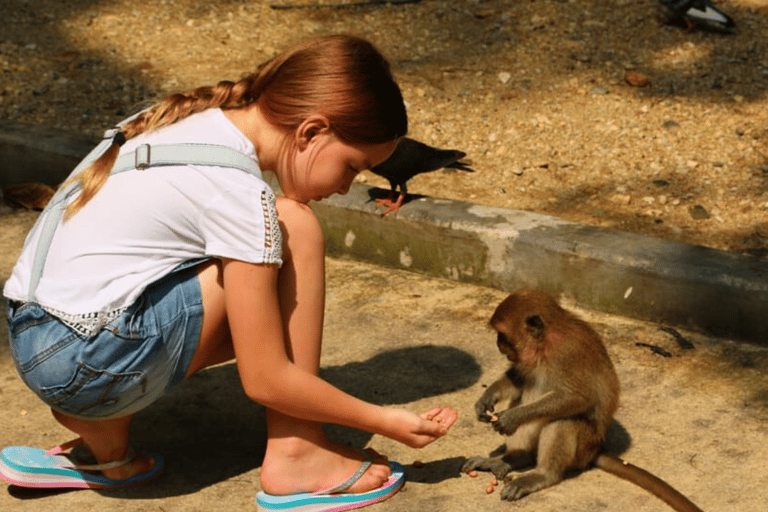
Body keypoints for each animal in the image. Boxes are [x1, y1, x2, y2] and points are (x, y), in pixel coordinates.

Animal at [460, 290, 704, 510]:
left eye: (503, 335)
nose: (498, 343)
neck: (546, 343)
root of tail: (596, 448)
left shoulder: (567, 352)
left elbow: (578, 398)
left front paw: (513, 417)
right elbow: (518, 378)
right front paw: (486, 398)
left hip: (583, 446)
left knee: (563, 420)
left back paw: (542, 474)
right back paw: (512, 459)